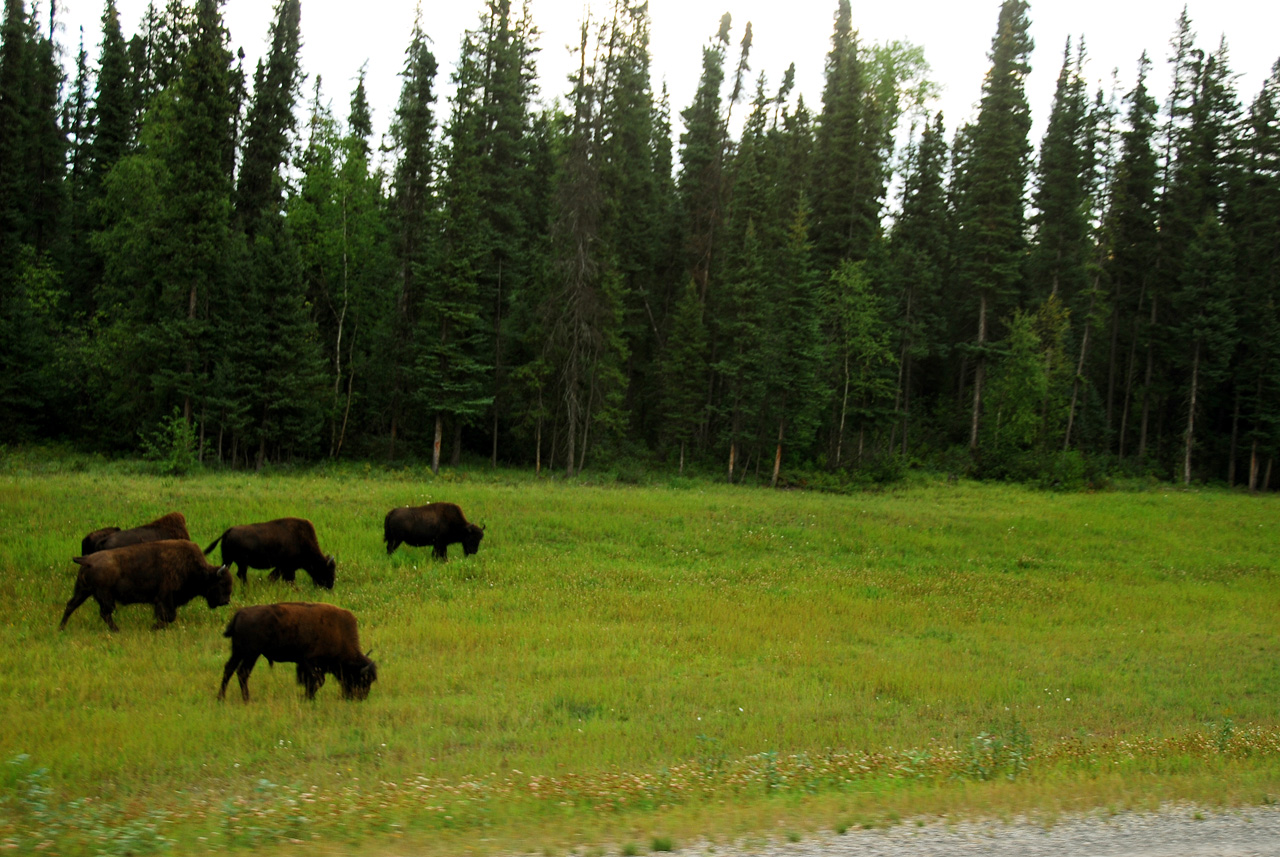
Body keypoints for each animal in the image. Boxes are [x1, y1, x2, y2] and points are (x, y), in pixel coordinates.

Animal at [58, 539, 234, 634]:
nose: (226, 601)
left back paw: (61, 628)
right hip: (104, 596)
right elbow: (169, 616)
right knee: (104, 613)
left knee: (71, 605)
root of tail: (87, 560)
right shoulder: (165, 598)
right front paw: (153, 628)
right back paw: (117, 630)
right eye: (221, 583)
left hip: (83, 591)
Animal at [203, 516, 335, 590]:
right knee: (241, 574)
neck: (302, 540)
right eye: (327, 570)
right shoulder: (286, 568)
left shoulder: (283, 568)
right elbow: (287, 579)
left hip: (228, 560)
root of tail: (228, 531)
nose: (330, 586)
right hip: (241, 563)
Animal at [217, 603, 376, 706]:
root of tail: (240, 613)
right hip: (251, 654)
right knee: (242, 673)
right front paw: (307, 698)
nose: (360, 698)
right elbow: (317, 681)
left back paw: (221, 698)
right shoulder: (310, 662)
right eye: (363, 680)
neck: (339, 633)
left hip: (238, 652)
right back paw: (246, 700)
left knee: (229, 669)